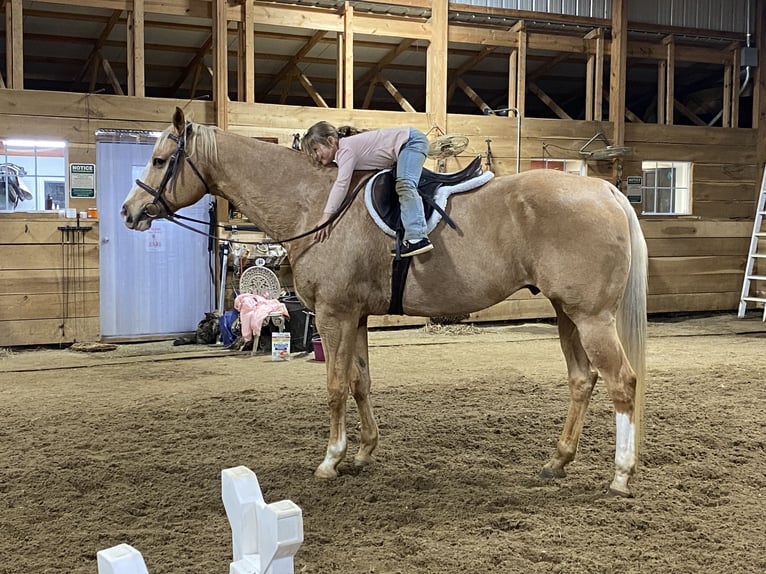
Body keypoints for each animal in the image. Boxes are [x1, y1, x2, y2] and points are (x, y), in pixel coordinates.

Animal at [121, 110, 648, 498]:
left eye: (159, 159)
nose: (129, 212)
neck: (316, 207)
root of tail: (606, 191)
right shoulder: (355, 316)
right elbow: (360, 382)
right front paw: (362, 453)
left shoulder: (333, 315)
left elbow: (335, 386)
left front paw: (331, 460)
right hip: (566, 315)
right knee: (582, 380)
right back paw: (557, 462)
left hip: (592, 318)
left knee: (622, 383)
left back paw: (621, 475)